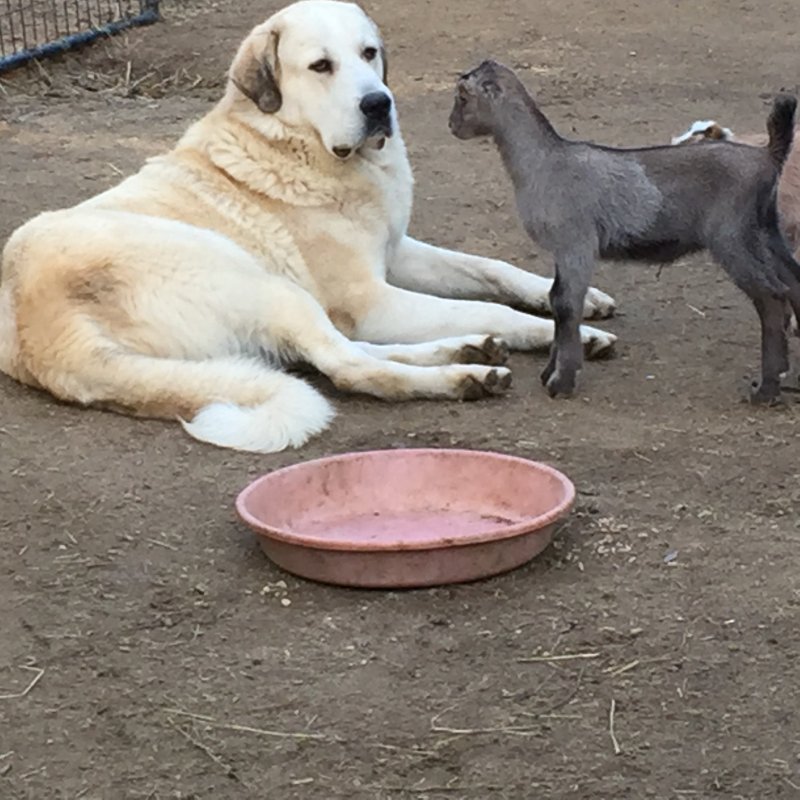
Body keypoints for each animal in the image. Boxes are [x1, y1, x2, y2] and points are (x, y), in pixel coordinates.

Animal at [0, 0, 616, 454]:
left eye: (369, 53)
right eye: (322, 66)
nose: (379, 104)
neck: (297, 144)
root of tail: (46, 337)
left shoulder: (397, 253)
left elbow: (491, 269)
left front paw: (579, 299)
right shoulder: (372, 300)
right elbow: (492, 308)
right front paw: (568, 334)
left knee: (339, 354)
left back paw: (469, 352)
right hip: (265, 283)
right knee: (348, 366)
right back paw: (463, 377)